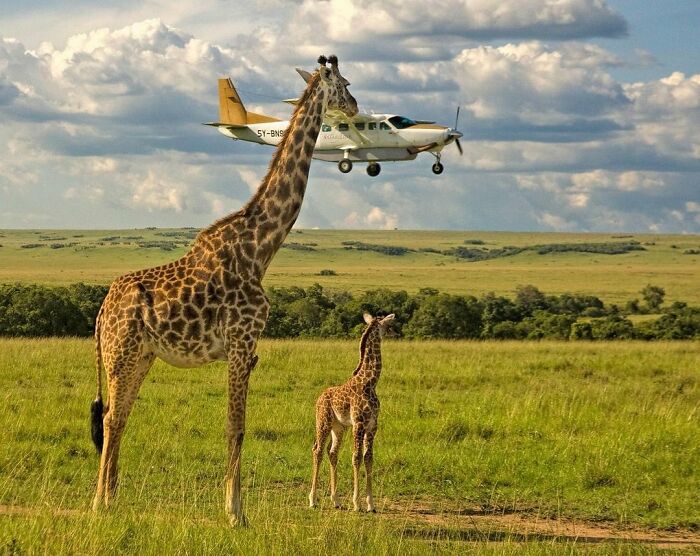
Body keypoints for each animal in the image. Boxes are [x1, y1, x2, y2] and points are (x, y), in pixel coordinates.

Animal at [89, 55, 357, 526]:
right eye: (343, 83)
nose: (357, 106)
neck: (261, 247)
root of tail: (103, 310)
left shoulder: (247, 348)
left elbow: (236, 425)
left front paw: (234, 509)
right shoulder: (240, 341)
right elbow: (237, 426)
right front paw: (236, 513)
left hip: (140, 356)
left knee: (118, 418)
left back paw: (112, 499)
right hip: (120, 354)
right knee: (110, 419)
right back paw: (101, 503)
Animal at [309, 313, 395, 512]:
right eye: (386, 325)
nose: (394, 332)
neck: (370, 383)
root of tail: (319, 398)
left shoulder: (372, 425)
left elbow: (368, 457)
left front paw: (371, 504)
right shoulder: (359, 423)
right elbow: (356, 457)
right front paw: (357, 503)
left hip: (339, 427)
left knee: (332, 452)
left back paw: (336, 501)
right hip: (323, 422)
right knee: (318, 450)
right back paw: (313, 500)